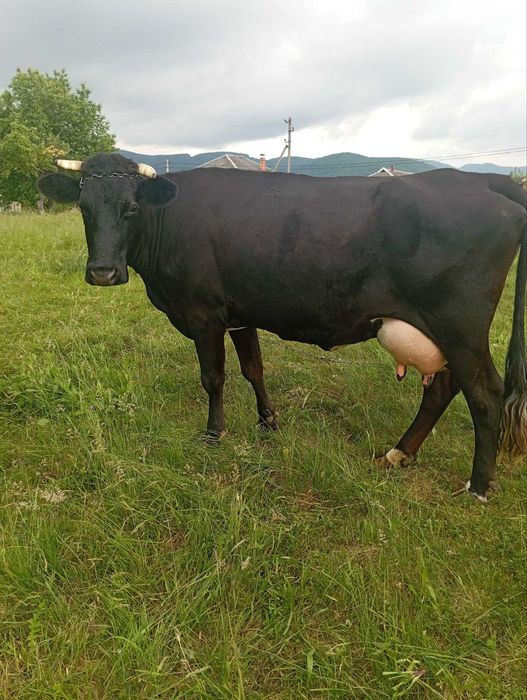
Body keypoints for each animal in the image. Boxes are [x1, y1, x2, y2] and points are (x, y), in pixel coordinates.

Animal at [37, 153, 526, 502]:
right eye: (82, 207)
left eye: (132, 207)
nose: (102, 272)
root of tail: (478, 179)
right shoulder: (239, 313)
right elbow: (253, 368)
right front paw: (268, 422)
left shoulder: (204, 314)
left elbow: (213, 377)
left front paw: (213, 434)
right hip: (444, 331)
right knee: (444, 387)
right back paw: (400, 452)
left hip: (459, 326)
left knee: (485, 394)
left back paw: (477, 486)